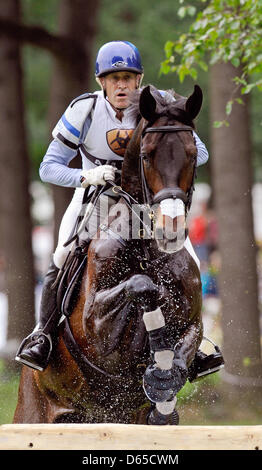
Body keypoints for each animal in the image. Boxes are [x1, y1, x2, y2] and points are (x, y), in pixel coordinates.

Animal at [12, 85, 203, 426]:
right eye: (146, 156)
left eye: (193, 155)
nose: (170, 231)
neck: (145, 247)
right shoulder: (96, 329)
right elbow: (141, 285)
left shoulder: (194, 320)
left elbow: (184, 345)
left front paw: (163, 383)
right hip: (32, 413)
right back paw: (36, 347)